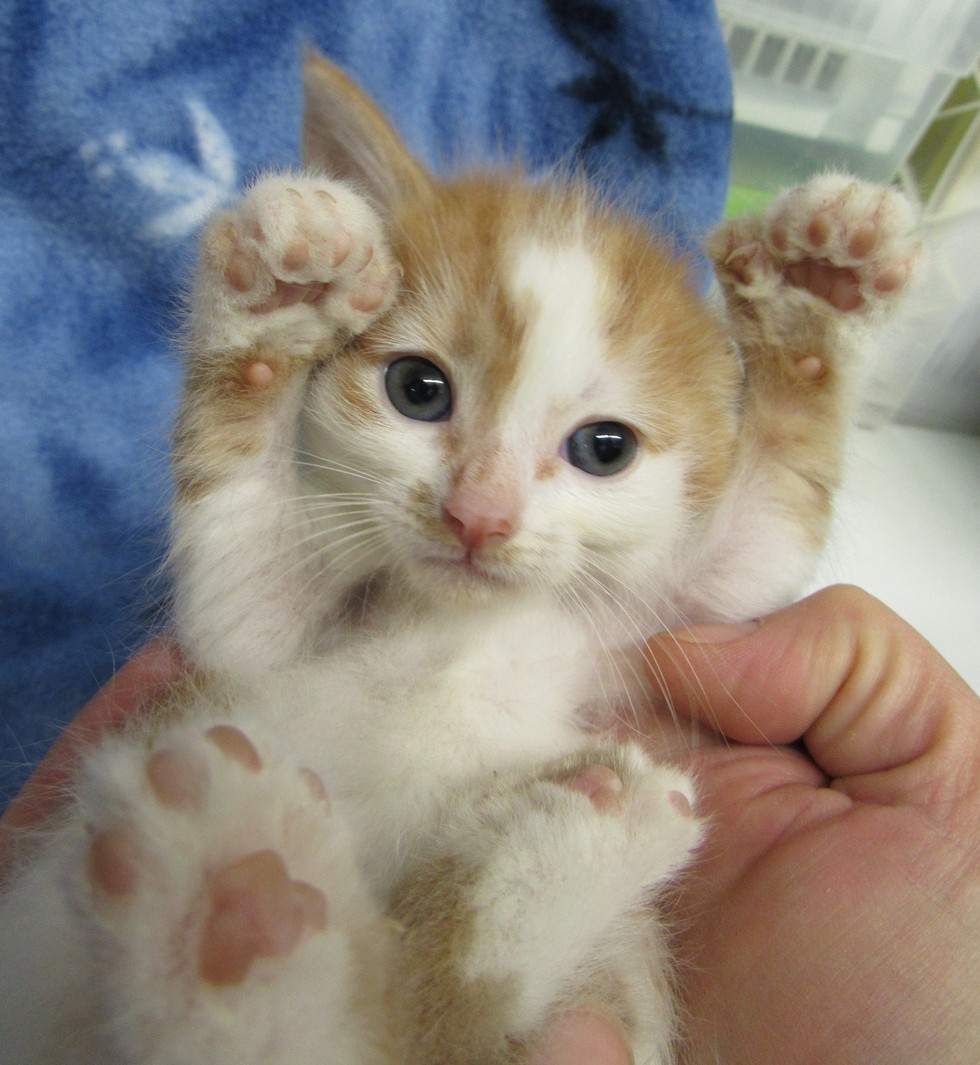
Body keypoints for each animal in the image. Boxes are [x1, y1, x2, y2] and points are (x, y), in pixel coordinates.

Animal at [0, 56, 920, 1065]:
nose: (478, 514)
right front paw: (275, 306)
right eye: (417, 388)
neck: (458, 622)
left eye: (604, 448)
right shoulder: (248, 636)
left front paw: (815, 303)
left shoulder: (665, 614)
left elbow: (762, 532)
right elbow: (239, 562)